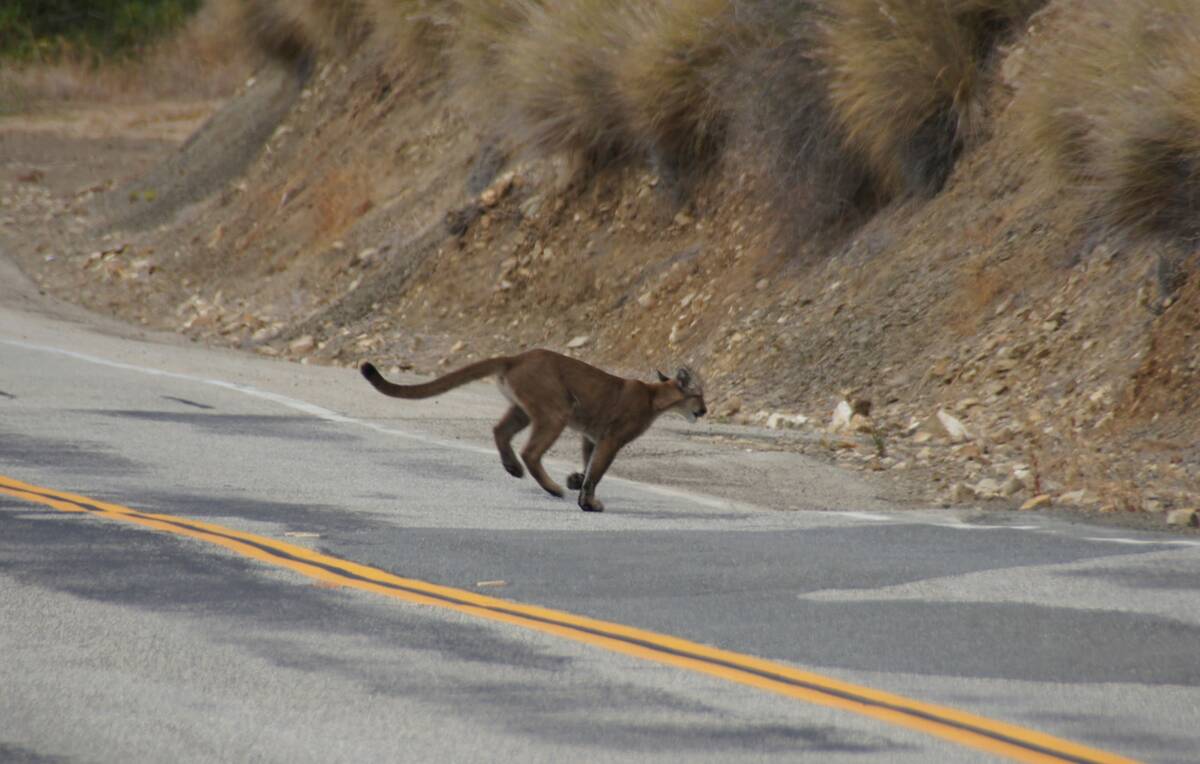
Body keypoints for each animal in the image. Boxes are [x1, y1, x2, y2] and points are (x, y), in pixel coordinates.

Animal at [360, 352, 705, 513]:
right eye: (699, 395)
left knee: (499, 430)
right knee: (531, 451)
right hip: (556, 412)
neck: (654, 397)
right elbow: (597, 472)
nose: (704, 411)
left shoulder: (591, 436)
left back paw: (512, 468)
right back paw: (551, 487)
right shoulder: (612, 439)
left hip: (524, 409)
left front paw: (576, 480)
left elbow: (588, 463)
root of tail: (518, 356)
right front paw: (587, 501)